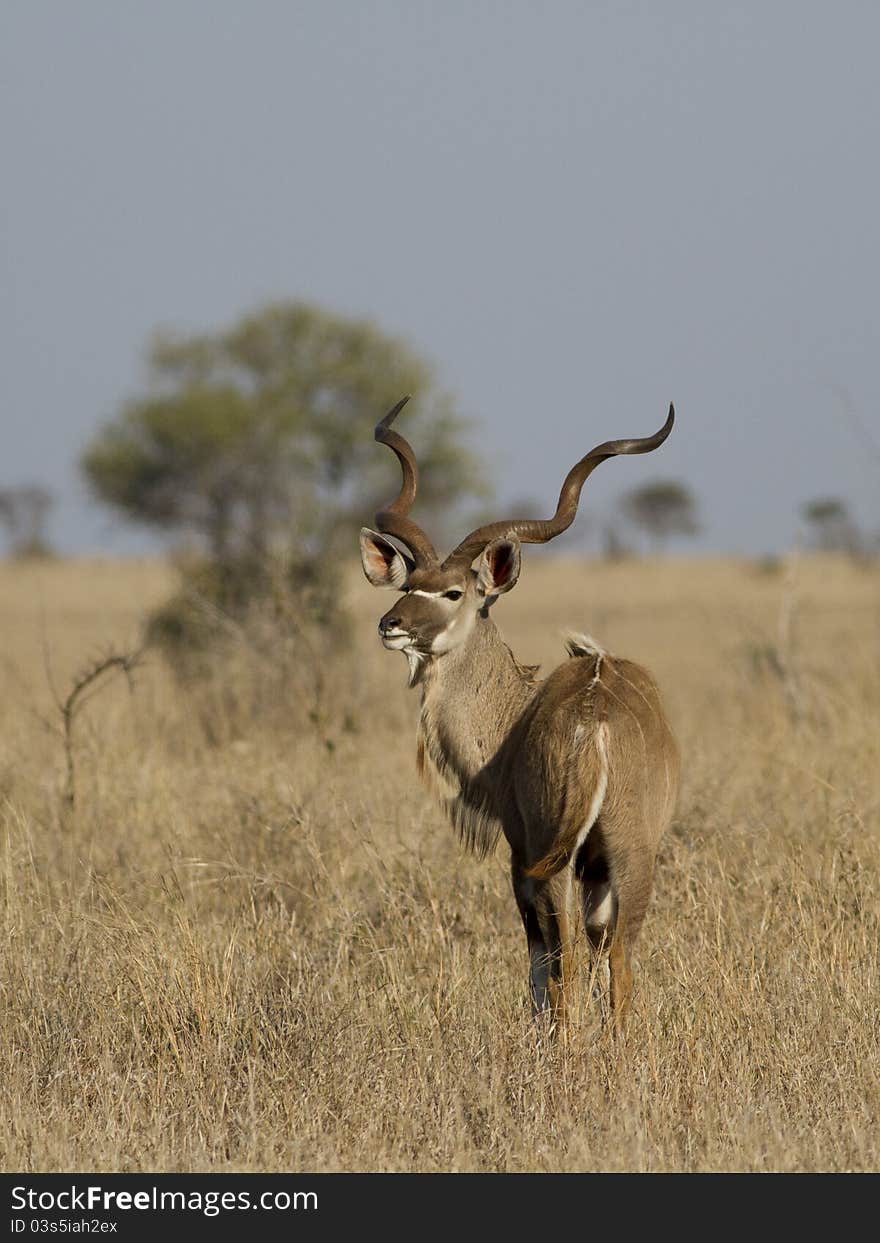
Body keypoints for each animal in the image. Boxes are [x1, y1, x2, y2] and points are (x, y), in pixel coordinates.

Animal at [357, 395, 681, 1029]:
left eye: (454, 592)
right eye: (409, 584)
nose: (391, 624)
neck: (518, 711)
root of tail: (595, 721)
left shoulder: (519, 851)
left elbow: (539, 964)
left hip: (553, 863)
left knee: (567, 960)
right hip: (627, 855)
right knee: (617, 957)